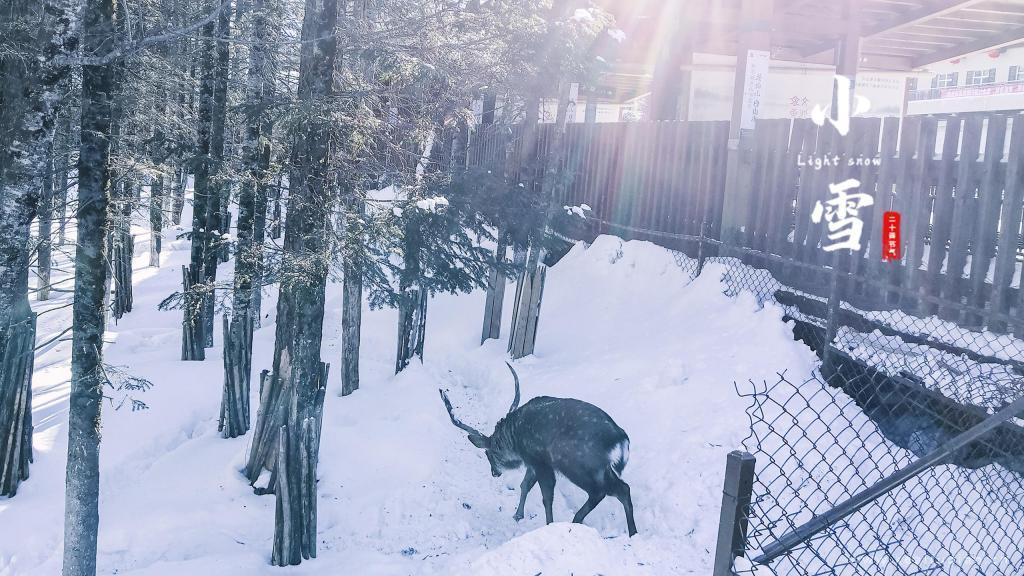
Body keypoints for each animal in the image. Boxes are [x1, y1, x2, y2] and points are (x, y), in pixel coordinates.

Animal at [440, 362, 638, 532]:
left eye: (489, 455)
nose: (494, 473)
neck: (515, 440)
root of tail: (620, 438)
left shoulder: (540, 461)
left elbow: (546, 496)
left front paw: (548, 524)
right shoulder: (533, 462)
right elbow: (525, 485)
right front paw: (517, 515)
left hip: (577, 464)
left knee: (601, 491)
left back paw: (576, 520)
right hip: (601, 468)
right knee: (624, 488)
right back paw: (632, 533)